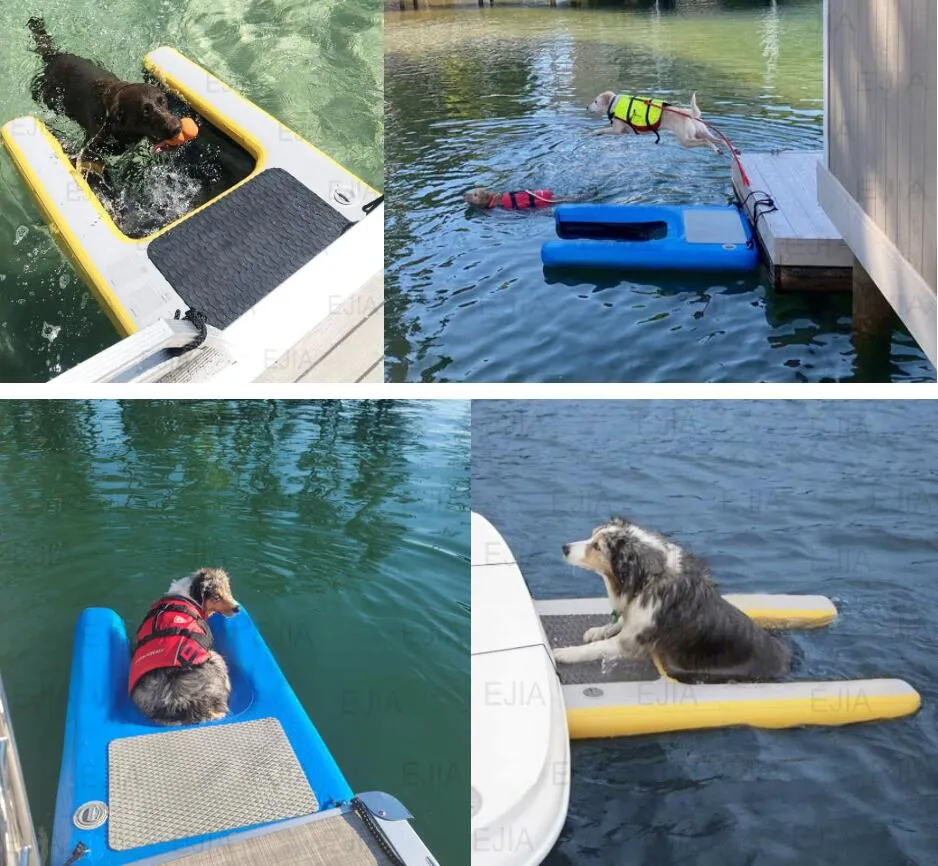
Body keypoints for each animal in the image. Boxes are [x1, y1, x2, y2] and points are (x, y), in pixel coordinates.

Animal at [584, 91, 724, 154]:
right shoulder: (623, 132)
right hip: (701, 132)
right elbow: (603, 131)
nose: (586, 107)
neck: (614, 102)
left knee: (706, 141)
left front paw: (591, 133)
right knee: (719, 140)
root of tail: (688, 113)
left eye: (595, 101)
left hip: (686, 140)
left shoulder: (616, 130)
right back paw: (724, 150)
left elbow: (600, 129)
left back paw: (715, 149)